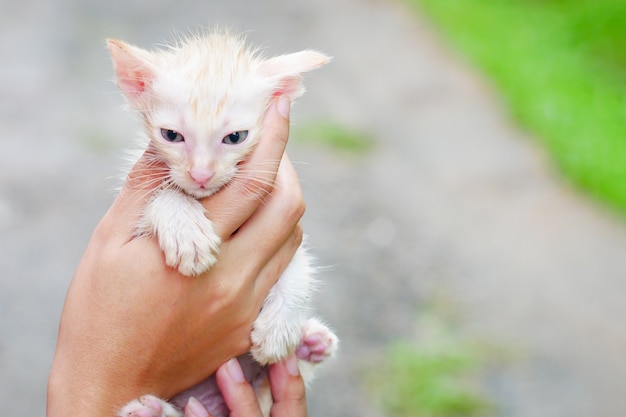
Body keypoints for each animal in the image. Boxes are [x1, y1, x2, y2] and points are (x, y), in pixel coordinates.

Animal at [109, 30, 338, 416]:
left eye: (235, 137)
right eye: (171, 135)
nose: (201, 175)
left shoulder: (287, 233)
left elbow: (300, 269)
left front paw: (281, 326)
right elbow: (161, 197)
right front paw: (185, 228)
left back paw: (311, 342)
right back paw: (149, 410)